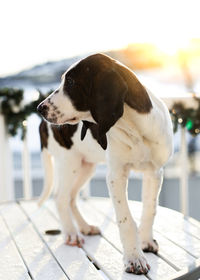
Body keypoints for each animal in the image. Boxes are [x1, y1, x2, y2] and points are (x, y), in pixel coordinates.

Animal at [38, 53, 173, 276]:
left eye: (71, 82)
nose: (40, 108)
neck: (134, 128)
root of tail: (42, 124)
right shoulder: (116, 175)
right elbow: (125, 219)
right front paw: (134, 258)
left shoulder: (154, 172)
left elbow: (150, 208)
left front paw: (146, 241)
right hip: (69, 162)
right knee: (60, 198)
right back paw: (71, 234)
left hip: (85, 166)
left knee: (71, 198)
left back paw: (84, 227)